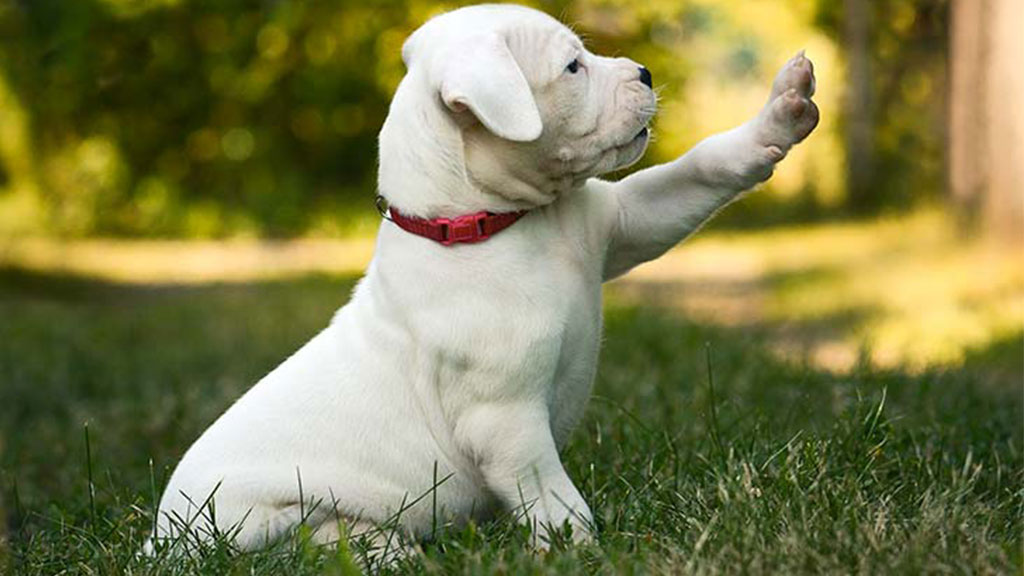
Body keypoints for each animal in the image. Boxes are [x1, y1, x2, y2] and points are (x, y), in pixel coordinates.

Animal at [149, 1, 815, 557]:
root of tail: (159, 545)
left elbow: (699, 171)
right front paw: (583, 551)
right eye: (573, 67)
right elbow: (551, 497)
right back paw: (387, 550)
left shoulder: (623, 224)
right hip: (259, 517)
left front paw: (781, 114)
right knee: (313, 543)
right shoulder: (506, 421)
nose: (646, 73)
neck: (493, 224)